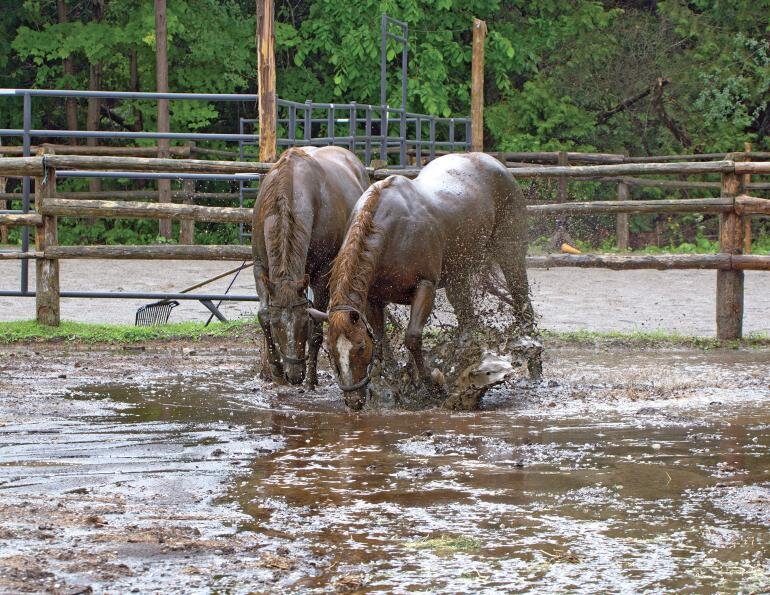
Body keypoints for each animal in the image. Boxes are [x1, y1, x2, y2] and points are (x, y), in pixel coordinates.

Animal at [252, 146, 368, 384]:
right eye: (277, 326)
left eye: (303, 323)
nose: (294, 375)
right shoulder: (260, 268)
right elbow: (263, 313)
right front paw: (275, 367)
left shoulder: (322, 276)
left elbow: (316, 330)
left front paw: (312, 380)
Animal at [308, 152, 540, 410]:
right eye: (330, 351)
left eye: (359, 347)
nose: (353, 400)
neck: (392, 232)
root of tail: (496, 164)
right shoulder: (373, 299)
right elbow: (381, 341)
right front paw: (391, 384)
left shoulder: (425, 287)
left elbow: (412, 339)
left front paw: (430, 385)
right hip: (458, 278)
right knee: (468, 324)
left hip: (510, 257)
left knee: (522, 305)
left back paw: (534, 367)